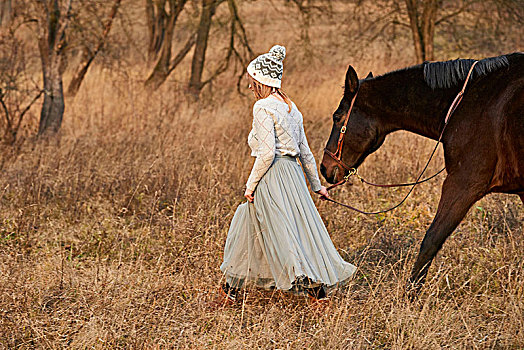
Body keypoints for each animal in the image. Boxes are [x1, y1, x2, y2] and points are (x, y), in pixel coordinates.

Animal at [320, 53, 524, 290]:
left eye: (337, 117)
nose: (324, 167)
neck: (466, 102)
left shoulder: (463, 184)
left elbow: (431, 239)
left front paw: (410, 293)